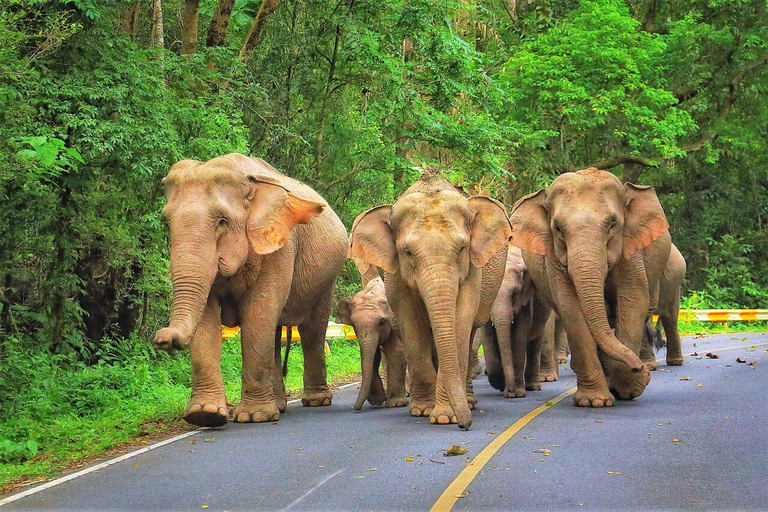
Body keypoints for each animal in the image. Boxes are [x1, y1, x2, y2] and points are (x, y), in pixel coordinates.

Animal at [151, 153, 348, 428]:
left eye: (222, 221)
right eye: (166, 223)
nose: (161, 339)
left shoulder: (279, 248)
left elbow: (258, 314)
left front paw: (255, 417)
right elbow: (207, 320)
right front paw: (206, 415)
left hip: (326, 276)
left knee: (311, 330)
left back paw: (316, 401)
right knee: (275, 334)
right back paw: (279, 406)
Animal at [336, 276, 408, 412]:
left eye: (381, 322)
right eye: (354, 324)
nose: (356, 408)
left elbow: (395, 351)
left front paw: (396, 404)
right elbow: (372, 355)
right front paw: (377, 401)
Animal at [348, 173, 510, 432]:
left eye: (462, 248)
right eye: (407, 252)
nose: (465, 426)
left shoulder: (472, 271)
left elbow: (459, 323)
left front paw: (446, 417)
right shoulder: (395, 275)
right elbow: (411, 324)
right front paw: (424, 411)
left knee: (469, 334)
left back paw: (469, 403)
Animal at [510, 168, 672, 408]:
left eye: (613, 224)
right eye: (558, 228)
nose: (641, 370)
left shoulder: (630, 250)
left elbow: (633, 302)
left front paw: (628, 390)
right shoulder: (554, 260)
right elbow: (571, 308)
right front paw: (595, 401)